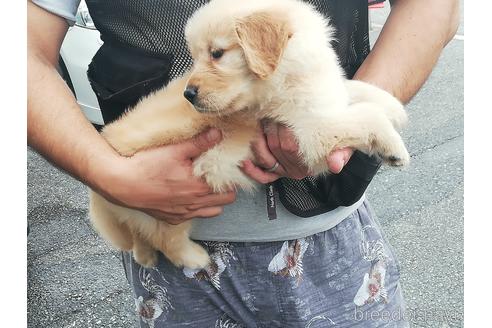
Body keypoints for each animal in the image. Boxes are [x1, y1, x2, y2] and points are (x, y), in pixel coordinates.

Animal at [87, 0, 408, 270]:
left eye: (216, 54)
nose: (188, 94)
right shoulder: (309, 131)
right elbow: (365, 115)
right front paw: (393, 146)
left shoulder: (320, 98)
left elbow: (354, 90)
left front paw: (393, 106)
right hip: (166, 206)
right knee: (166, 239)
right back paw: (195, 258)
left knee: (139, 239)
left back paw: (145, 256)